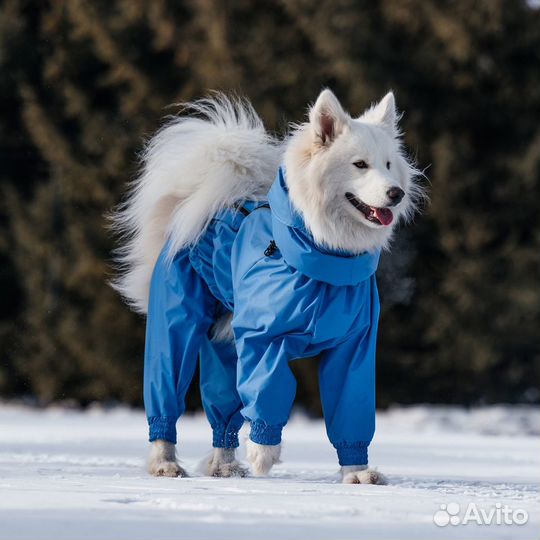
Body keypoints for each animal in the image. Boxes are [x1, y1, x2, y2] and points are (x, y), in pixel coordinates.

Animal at [113, 89, 422, 486]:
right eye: (359, 165)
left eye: (387, 164)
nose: (396, 193)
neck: (323, 262)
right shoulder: (263, 339)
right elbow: (267, 392)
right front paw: (263, 454)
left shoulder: (355, 348)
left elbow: (349, 411)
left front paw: (358, 473)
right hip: (175, 326)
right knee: (166, 391)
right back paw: (165, 463)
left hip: (224, 340)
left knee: (222, 411)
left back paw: (224, 466)